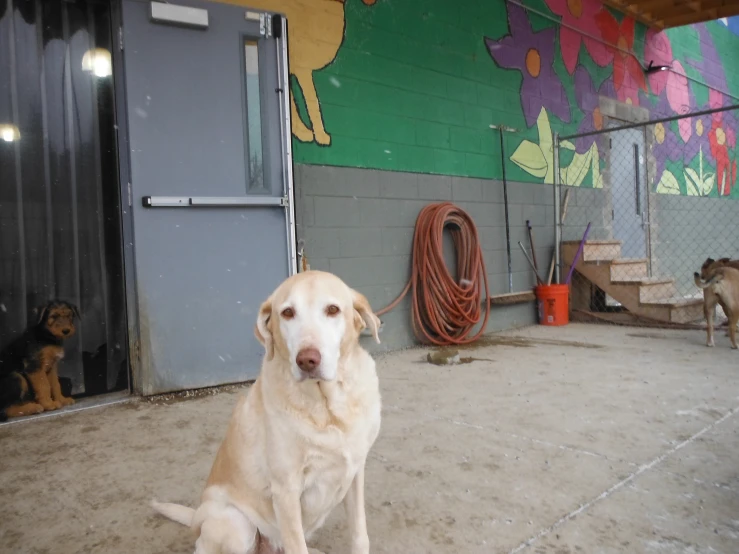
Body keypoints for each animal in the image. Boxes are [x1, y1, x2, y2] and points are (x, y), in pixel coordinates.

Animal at [150, 270, 382, 552]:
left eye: (333, 309)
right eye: (288, 313)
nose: (307, 360)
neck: (327, 408)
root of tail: (197, 518)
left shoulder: (355, 472)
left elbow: (359, 534)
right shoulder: (286, 489)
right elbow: (296, 544)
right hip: (236, 522)